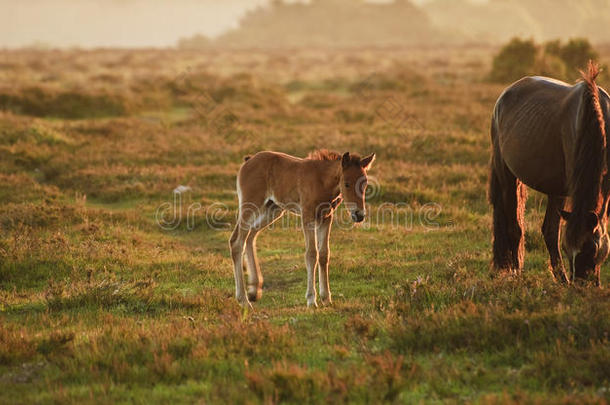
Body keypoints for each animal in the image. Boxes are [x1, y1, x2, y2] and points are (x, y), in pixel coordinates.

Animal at [230, 150, 372, 308]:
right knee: (236, 242)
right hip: (250, 205)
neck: (322, 181)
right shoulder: (307, 216)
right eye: (346, 183)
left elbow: (324, 254)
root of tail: (248, 161)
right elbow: (311, 254)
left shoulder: (326, 217)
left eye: (365, 183)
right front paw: (311, 299)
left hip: (272, 209)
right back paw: (243, 299)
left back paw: (254, 290)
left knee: (250, 236)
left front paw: (326, 298)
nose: (359, 215)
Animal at [490, 62, 608, 284]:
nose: (581, 286)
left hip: (556, 188)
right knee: (515, 228)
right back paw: (518, 273)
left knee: (549, 230)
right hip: (507, 176)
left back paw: (561, 278)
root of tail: (504, 95)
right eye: (568, 249)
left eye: (591, 249)